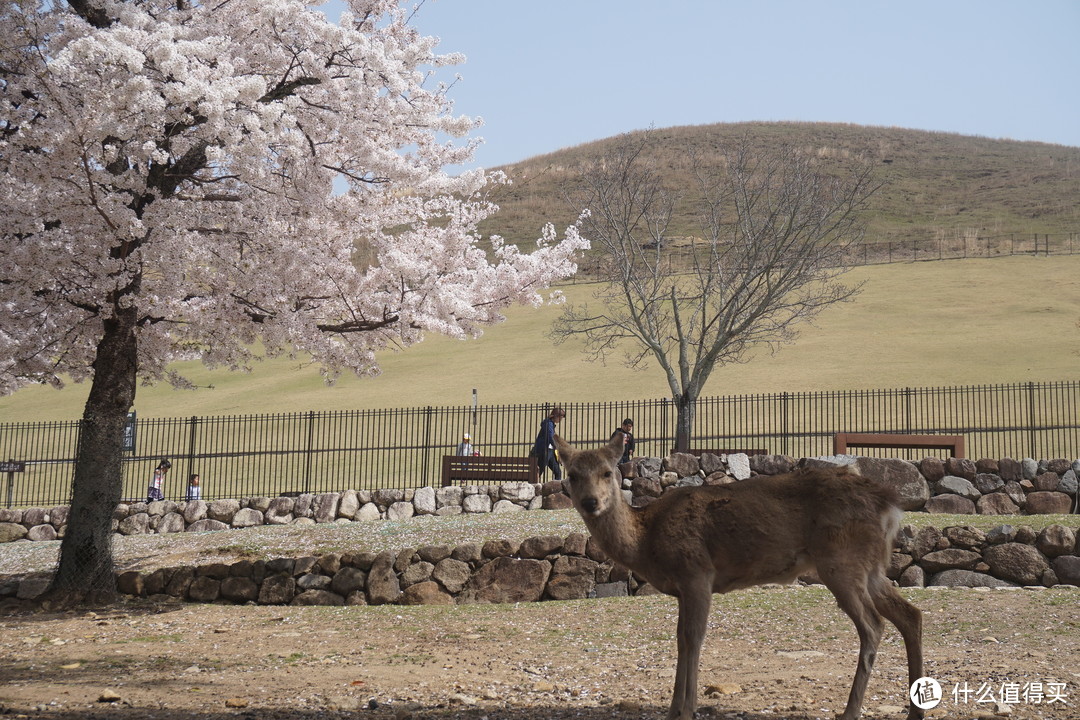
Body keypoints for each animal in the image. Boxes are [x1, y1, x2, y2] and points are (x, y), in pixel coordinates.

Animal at [557, 433, 920, 720]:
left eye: (607, 472)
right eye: (572, 474)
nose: (590, 502)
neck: (647, 541)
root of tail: (890, 506)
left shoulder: (697, 572)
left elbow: (693, 638)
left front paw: (687, 710)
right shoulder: (682, 587)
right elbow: (680, 639)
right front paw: (673, 709)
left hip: (841, 561)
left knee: (873, 625)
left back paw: (850, 711)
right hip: (870, 567)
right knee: (910, 614)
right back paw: (913, 711)